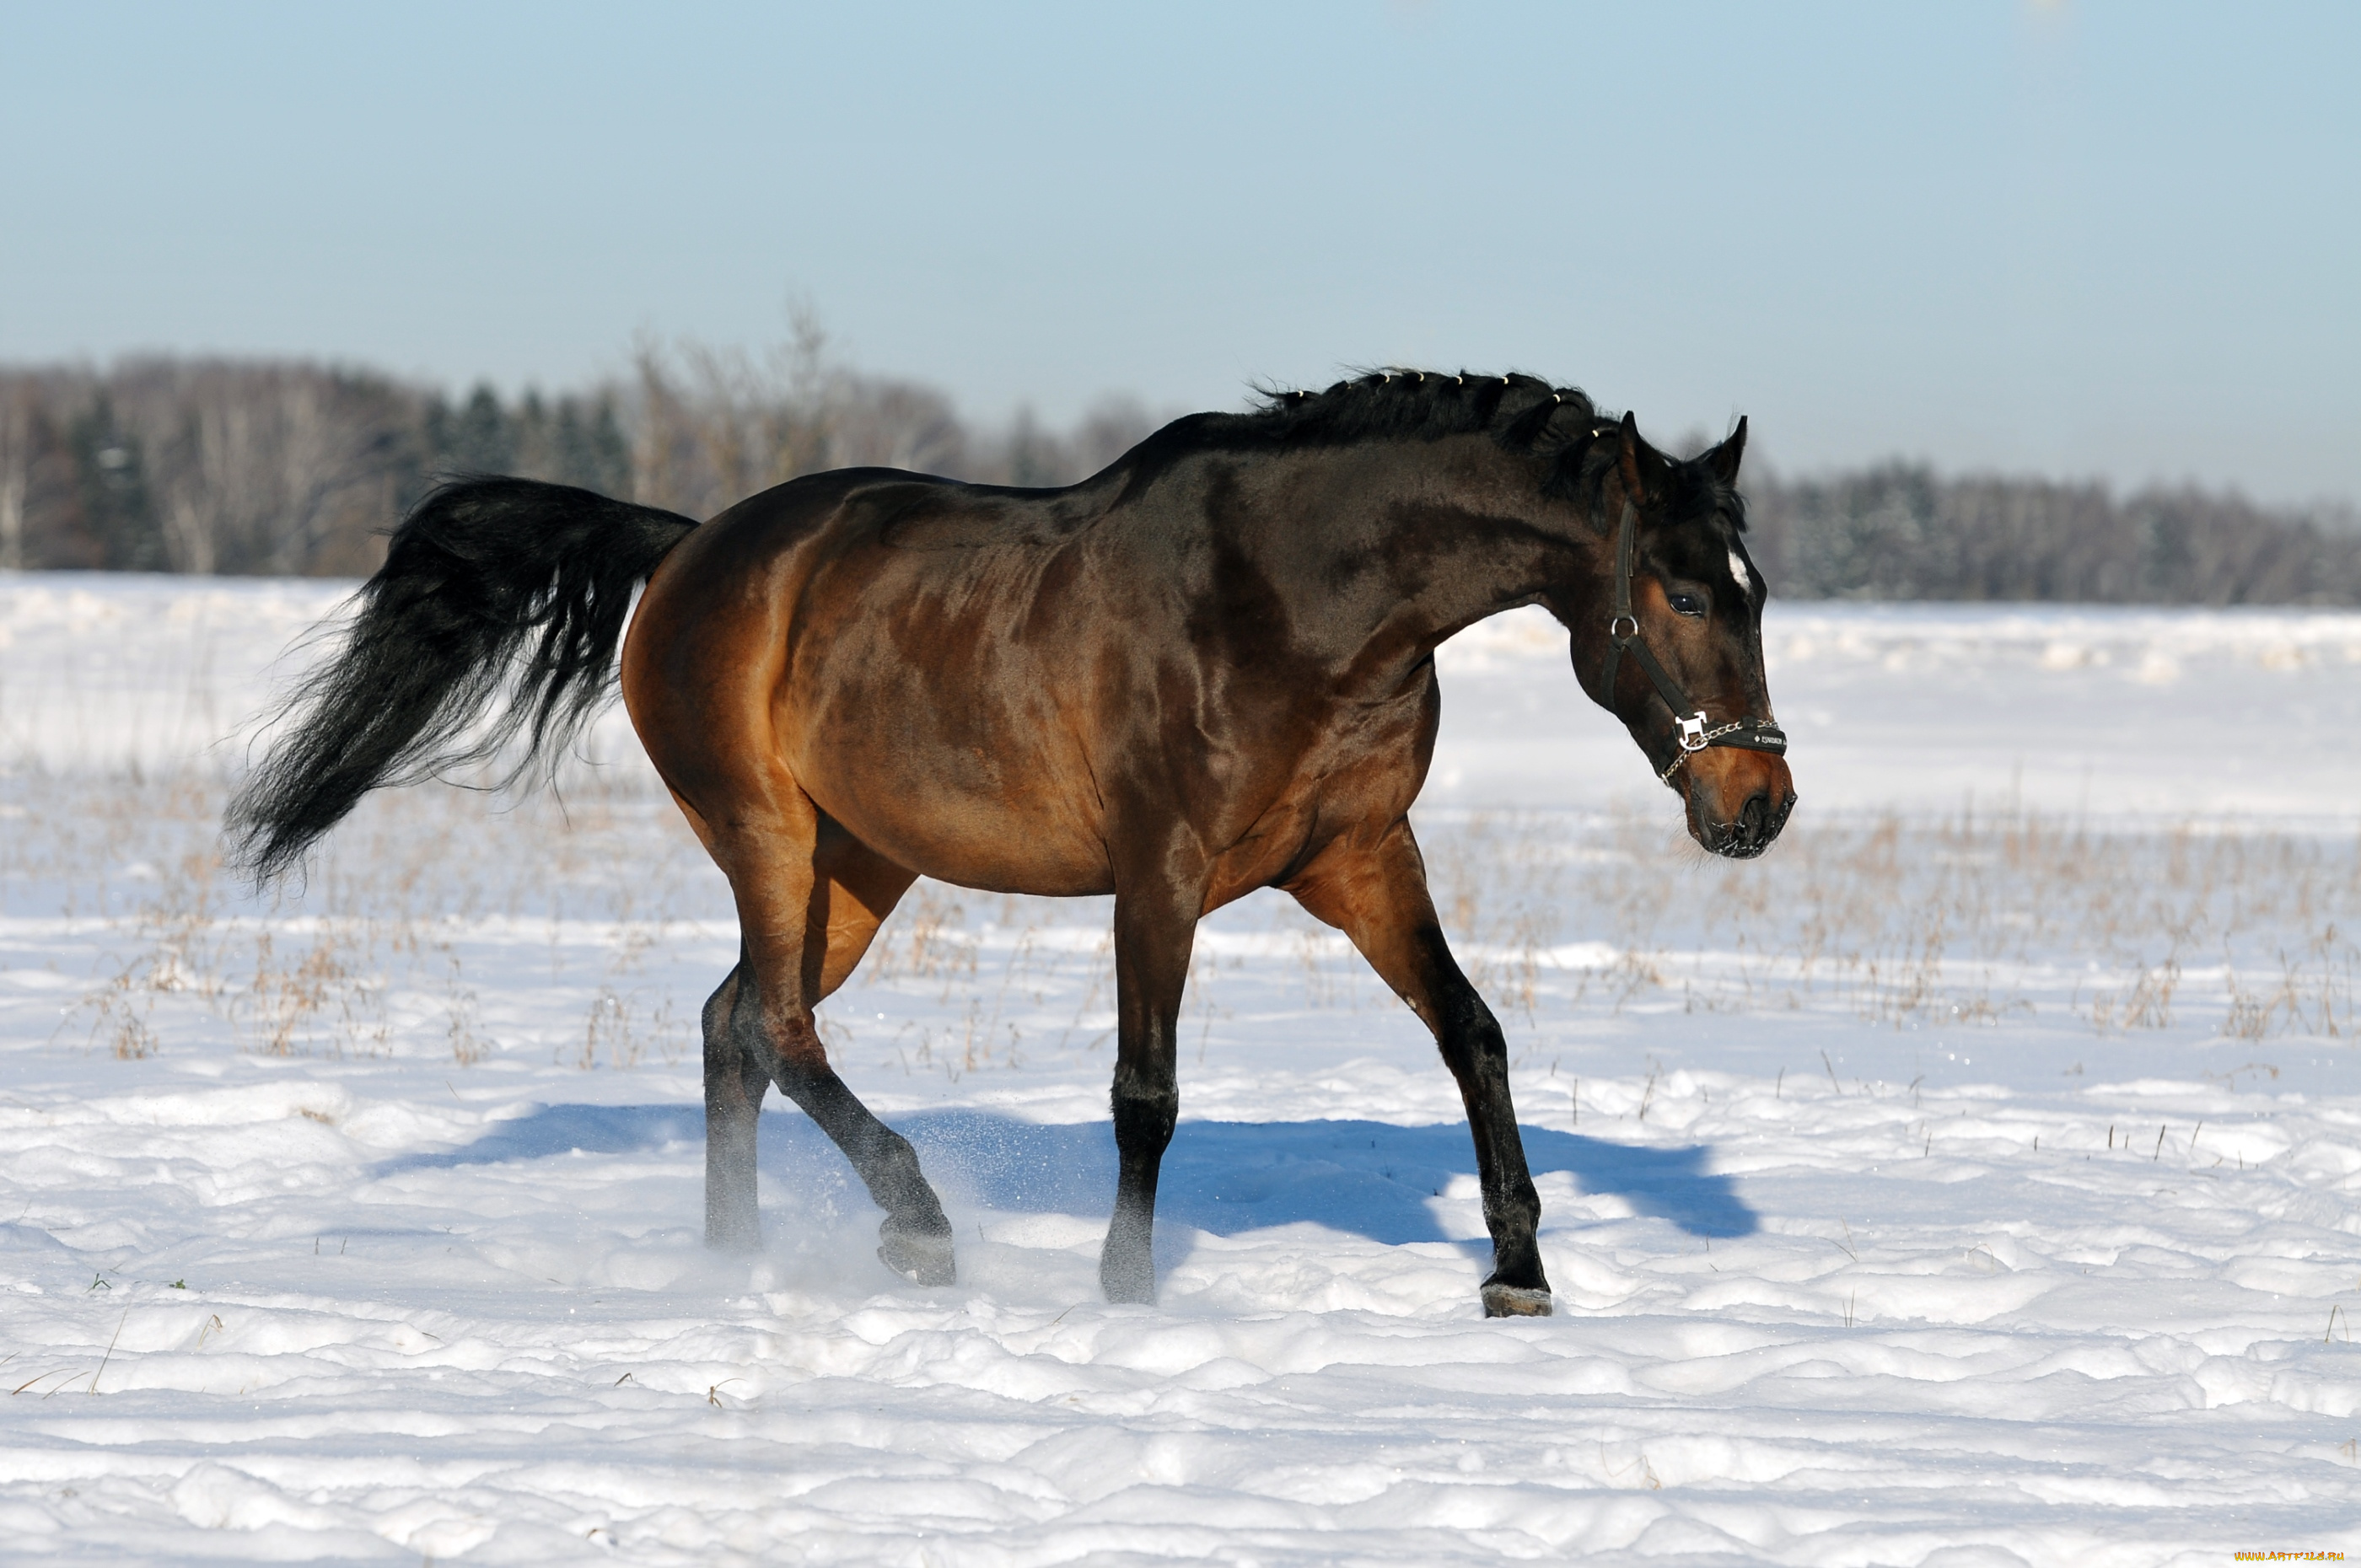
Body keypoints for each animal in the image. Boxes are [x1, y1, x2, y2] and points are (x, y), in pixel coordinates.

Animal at [234, 373, 1784, 1313]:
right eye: (1683, 591)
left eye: (1757, 588)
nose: (1756, 806)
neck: (1298, 600)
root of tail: (687, 551)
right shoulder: (1160, 874)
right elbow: (1145, 1092)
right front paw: (1126, 1288)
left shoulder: (1358, 859)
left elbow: (1474, 1034)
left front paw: (1517, 1268)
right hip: (768, 834)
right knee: (777, 1027)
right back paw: (915, 1225)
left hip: (863, 864)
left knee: (734, 1027)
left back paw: (739, 1259)